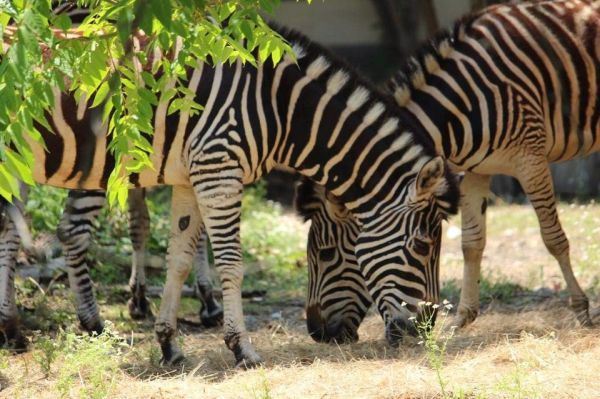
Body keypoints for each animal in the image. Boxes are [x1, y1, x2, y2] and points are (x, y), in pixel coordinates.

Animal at [2, 25, 460, 368]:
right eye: (422, 247)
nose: (427, 327)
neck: (277, 109)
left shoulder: (189, 179)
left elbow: (179, 260)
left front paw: (169, 345)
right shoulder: (218, 171)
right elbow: (231, 265)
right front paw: (242, 348)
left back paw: (13, 330)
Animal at [296, 0, 600, 338]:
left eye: (326, 254)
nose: (317, 333)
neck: (461, 103)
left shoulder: (530, 159)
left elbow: (553, 239)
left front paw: (581, 310)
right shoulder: (476, 171)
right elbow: (471, 244)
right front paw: (462, 318)